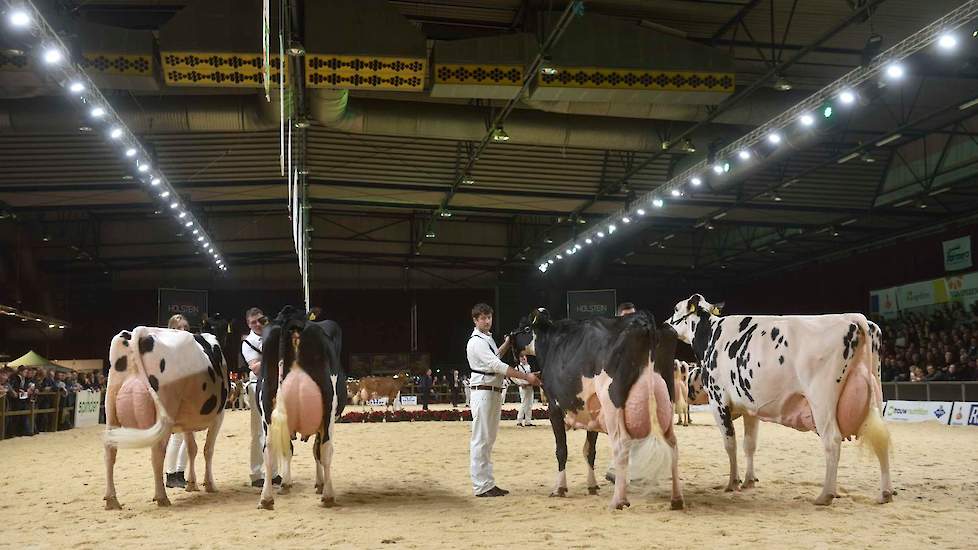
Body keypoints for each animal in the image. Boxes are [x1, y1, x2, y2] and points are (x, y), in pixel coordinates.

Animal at [101, 328, 229, 512]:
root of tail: (140, 332)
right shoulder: (219, 415)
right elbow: (208, 450)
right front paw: (210, 484)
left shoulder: (185, 422)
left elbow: (192, 449)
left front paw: (192, 484)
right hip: (165, 414)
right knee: (157, 454)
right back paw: (162, 497)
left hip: (111, 411)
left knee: (110, 452)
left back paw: (112, 499)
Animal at [255, 308, 344, 512]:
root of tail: (292, 318)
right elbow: (316, 450)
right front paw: (320, 484)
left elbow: (288, 449)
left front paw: (286, 483)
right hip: (329, 404)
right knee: (326, 448)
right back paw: (328, 495)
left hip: (267, 404)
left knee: (268, 449)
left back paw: (266, 498)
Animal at [516, 308, 684, 512]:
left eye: (523, 326)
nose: (507, 337)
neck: (551, 342)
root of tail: (643, 319)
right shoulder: (593, 413)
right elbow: (590, 451)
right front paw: (592, 485)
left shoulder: (554, 408)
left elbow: (561, 450)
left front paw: (560, 488)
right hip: (667, 400)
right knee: (672, 446)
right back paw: (676, 499)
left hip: (612, 403)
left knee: (621, 445)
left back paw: (619, 500)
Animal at [668, 296, 888, 506]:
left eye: (676, 308)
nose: (665, 323)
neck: (712, 335)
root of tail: (853, 318)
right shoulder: (750, 408)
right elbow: (750, 444)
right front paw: (749, 481)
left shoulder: (718, 402)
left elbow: (730, 444)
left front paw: (733, 483)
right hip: (876, 395)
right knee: (881, 438)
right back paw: (886, 493)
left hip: (821, 400)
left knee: (832, 440)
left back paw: (826, 495)